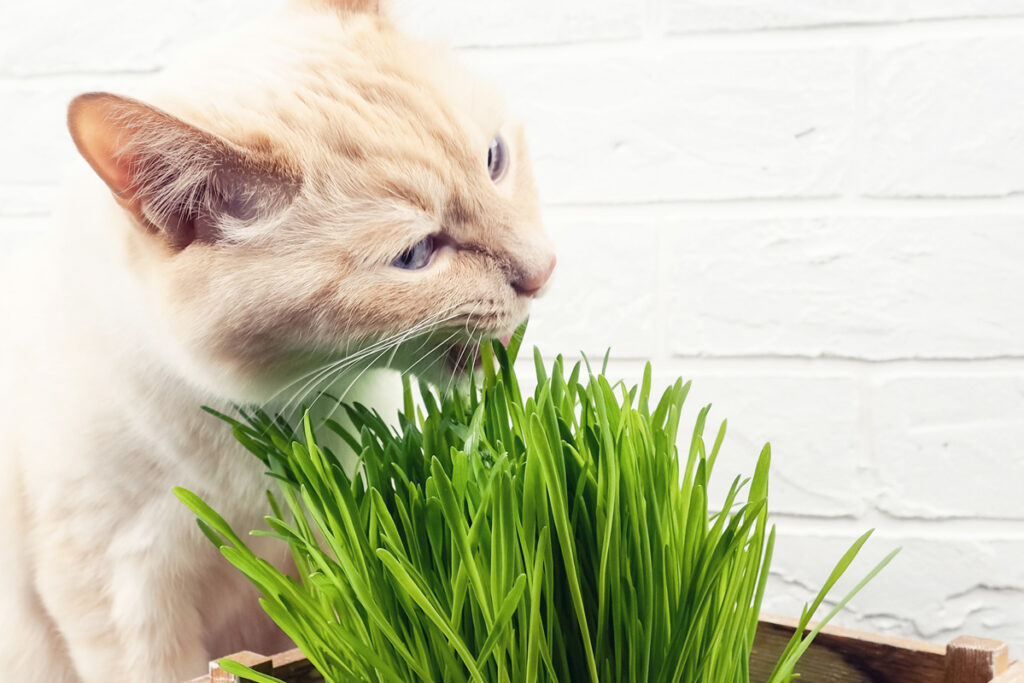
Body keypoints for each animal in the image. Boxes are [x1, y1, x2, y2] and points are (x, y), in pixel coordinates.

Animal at [0, 1, 552, 683]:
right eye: (415, 255)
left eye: (495, 160)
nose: (544, 271)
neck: (270, 420)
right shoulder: (121, 588)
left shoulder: (330, 537)